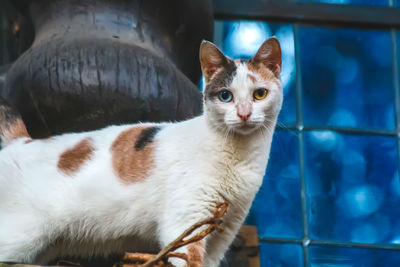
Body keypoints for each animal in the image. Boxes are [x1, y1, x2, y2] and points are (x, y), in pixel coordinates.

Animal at [0, 38, 282, 267]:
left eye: (259, 94)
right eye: (225, 96)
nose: (244, 114)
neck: (239, 157)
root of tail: (21, 141)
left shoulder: (223, 232)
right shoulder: (185, 223)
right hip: (21, 236)